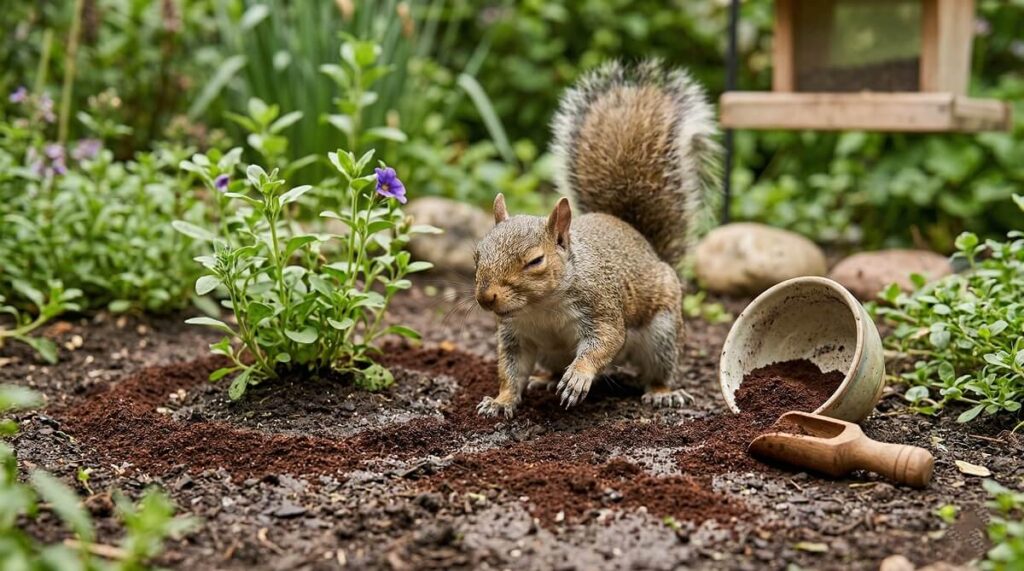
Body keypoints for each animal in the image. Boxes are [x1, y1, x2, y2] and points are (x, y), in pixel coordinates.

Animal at [473, 59, 719, 418]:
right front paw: (500, 401)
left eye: (535, 260)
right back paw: (545, 380)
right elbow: (510, 370)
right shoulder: (514, 334)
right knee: (548, 369)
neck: (541, 307)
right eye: (477, 255)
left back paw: (662, 393)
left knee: (658, 371)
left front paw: (578, 376)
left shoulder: (600, 307)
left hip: (663, 333)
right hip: (552, 354)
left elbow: (605, 341)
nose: (485, 298)